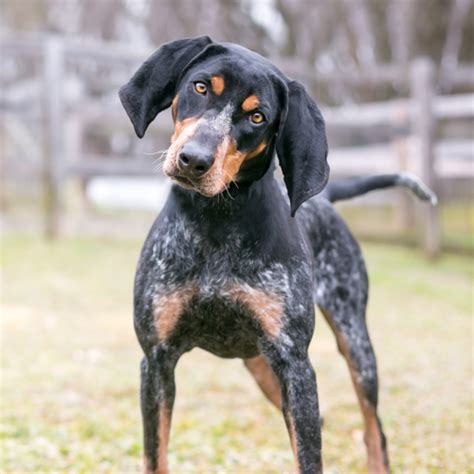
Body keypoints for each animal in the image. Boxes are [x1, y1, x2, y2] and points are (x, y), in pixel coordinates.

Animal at [119, 37, 436, 474]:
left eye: (257, 116)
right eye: (201, 87)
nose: (194, 160)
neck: (215, 222)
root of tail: (327, 198)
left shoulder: (295, 366)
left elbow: (310, 457)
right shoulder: (156, 361)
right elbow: (156, 455)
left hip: (354, 345)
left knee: (374, 429)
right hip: (262, 367)